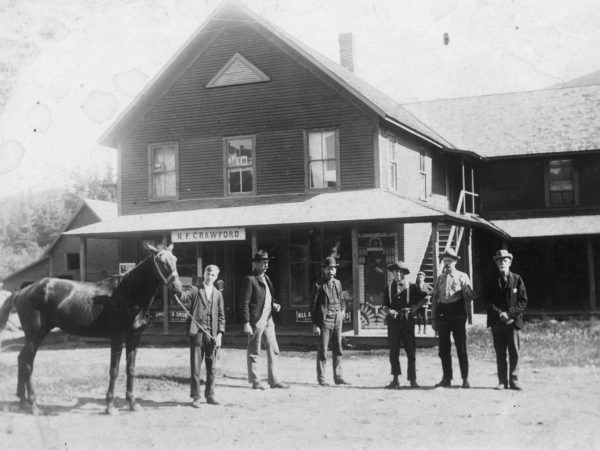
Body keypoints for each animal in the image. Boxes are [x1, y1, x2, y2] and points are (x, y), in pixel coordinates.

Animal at [0, 243, 182, 414]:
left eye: (175, 260)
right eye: (161, 261)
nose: (178, 288)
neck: (128, 293)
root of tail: (22, 291)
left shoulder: (134, 338)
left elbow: (130, 369)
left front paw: (133, 404)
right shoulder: (117, 337)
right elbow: (114, 370)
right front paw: (110, 406)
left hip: (33, 336)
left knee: (21, 359)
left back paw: (23, 402)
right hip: (35, 335)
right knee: (27, 363)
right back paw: (33, 405)